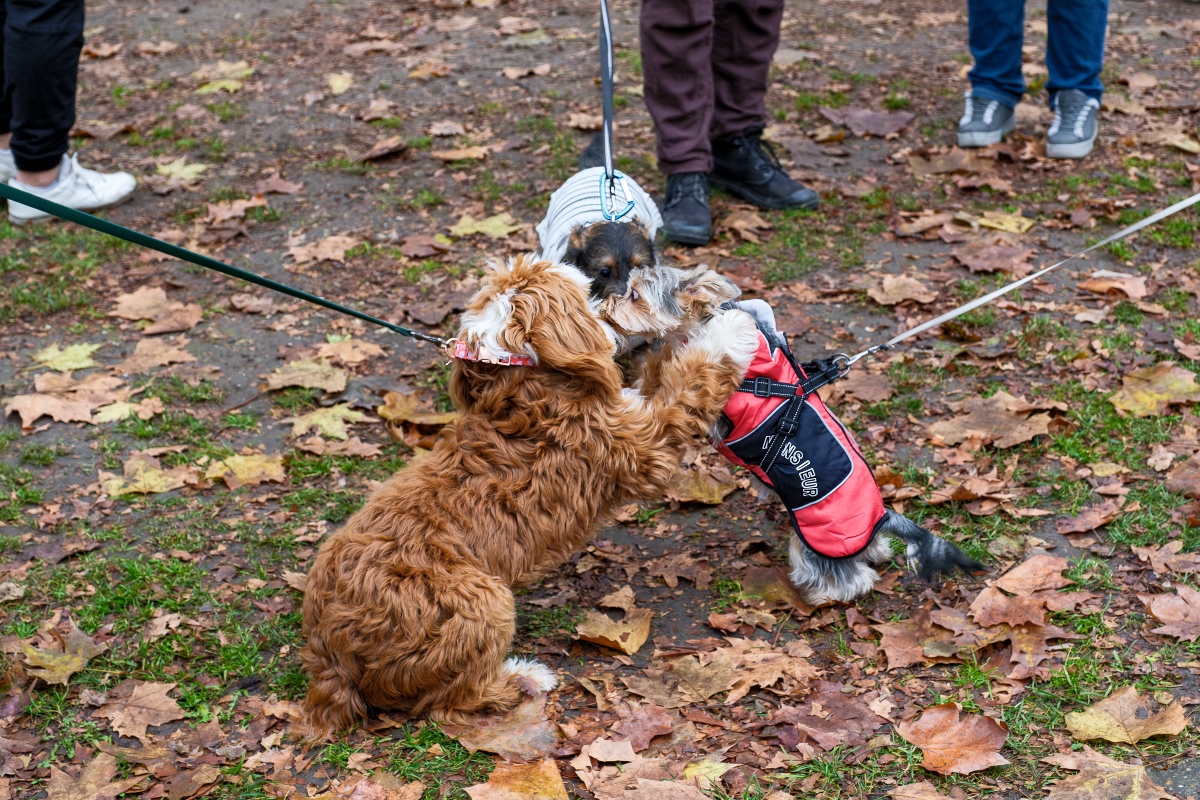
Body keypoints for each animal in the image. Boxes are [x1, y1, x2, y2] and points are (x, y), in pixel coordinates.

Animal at [297, 256, 758, 738]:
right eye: (588, 295)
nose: (610, 311)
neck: (523, 376)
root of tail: (332, 664)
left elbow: (661, 371)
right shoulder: (645, 447)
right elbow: (691, 381)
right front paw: (731, 330)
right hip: (484, 602)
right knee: (451, 702)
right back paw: (523, 678)